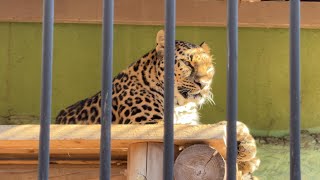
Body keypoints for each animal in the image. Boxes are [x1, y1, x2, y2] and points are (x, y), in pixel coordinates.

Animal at [55, 29, 260, 179]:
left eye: (209, 67)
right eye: (188, 63)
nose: (203, 84)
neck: (181, 105)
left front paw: (247, 150)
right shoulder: (148, 124)